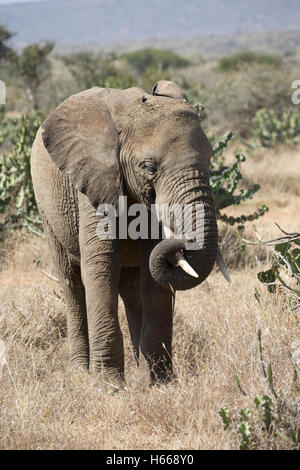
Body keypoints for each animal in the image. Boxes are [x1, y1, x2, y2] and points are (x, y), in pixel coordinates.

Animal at [31, 81, 230, 390]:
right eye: (148, 167)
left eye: (210, 158)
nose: (183, 243)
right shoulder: (95, 178)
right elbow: (100, 268)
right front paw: (108, 387)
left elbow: (153, 276)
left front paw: (160, 383)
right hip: (47, 211)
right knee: (71, 282)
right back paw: (79, 373)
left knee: (133, 287)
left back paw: (141, 369)